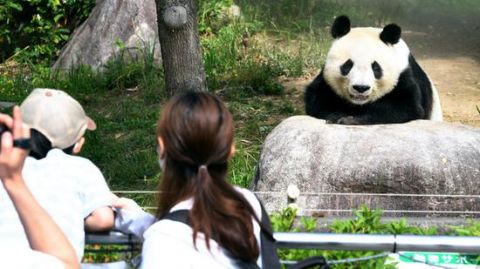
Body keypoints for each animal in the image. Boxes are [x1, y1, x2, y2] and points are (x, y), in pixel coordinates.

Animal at [304, 14, 442, 123]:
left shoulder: (403, 74)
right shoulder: (326, 80)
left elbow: (406, 107)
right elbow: (317, 99)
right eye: (347, 65)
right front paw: (337, 115)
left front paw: (352, 119)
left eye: (376, 68)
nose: (361, 88)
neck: (359, 104)